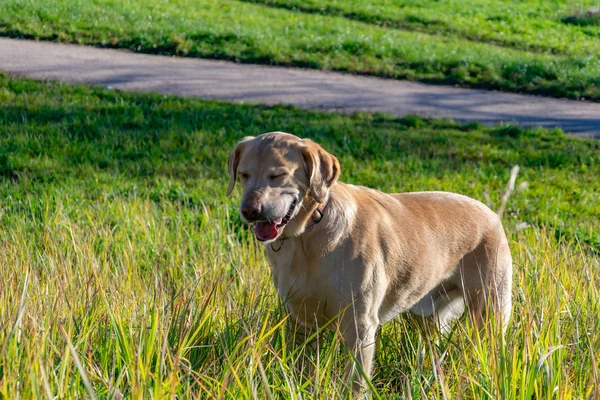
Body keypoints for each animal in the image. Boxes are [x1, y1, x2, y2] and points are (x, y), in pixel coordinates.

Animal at [225, 130, 510, 390]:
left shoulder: (359, 325)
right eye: (244, 175)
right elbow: (302, 372)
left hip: (490, 313)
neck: (308, 234)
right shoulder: (300, 321)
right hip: (426, 317)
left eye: (278, 175)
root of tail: (491, 214)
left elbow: (354, 384)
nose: (249, 211)